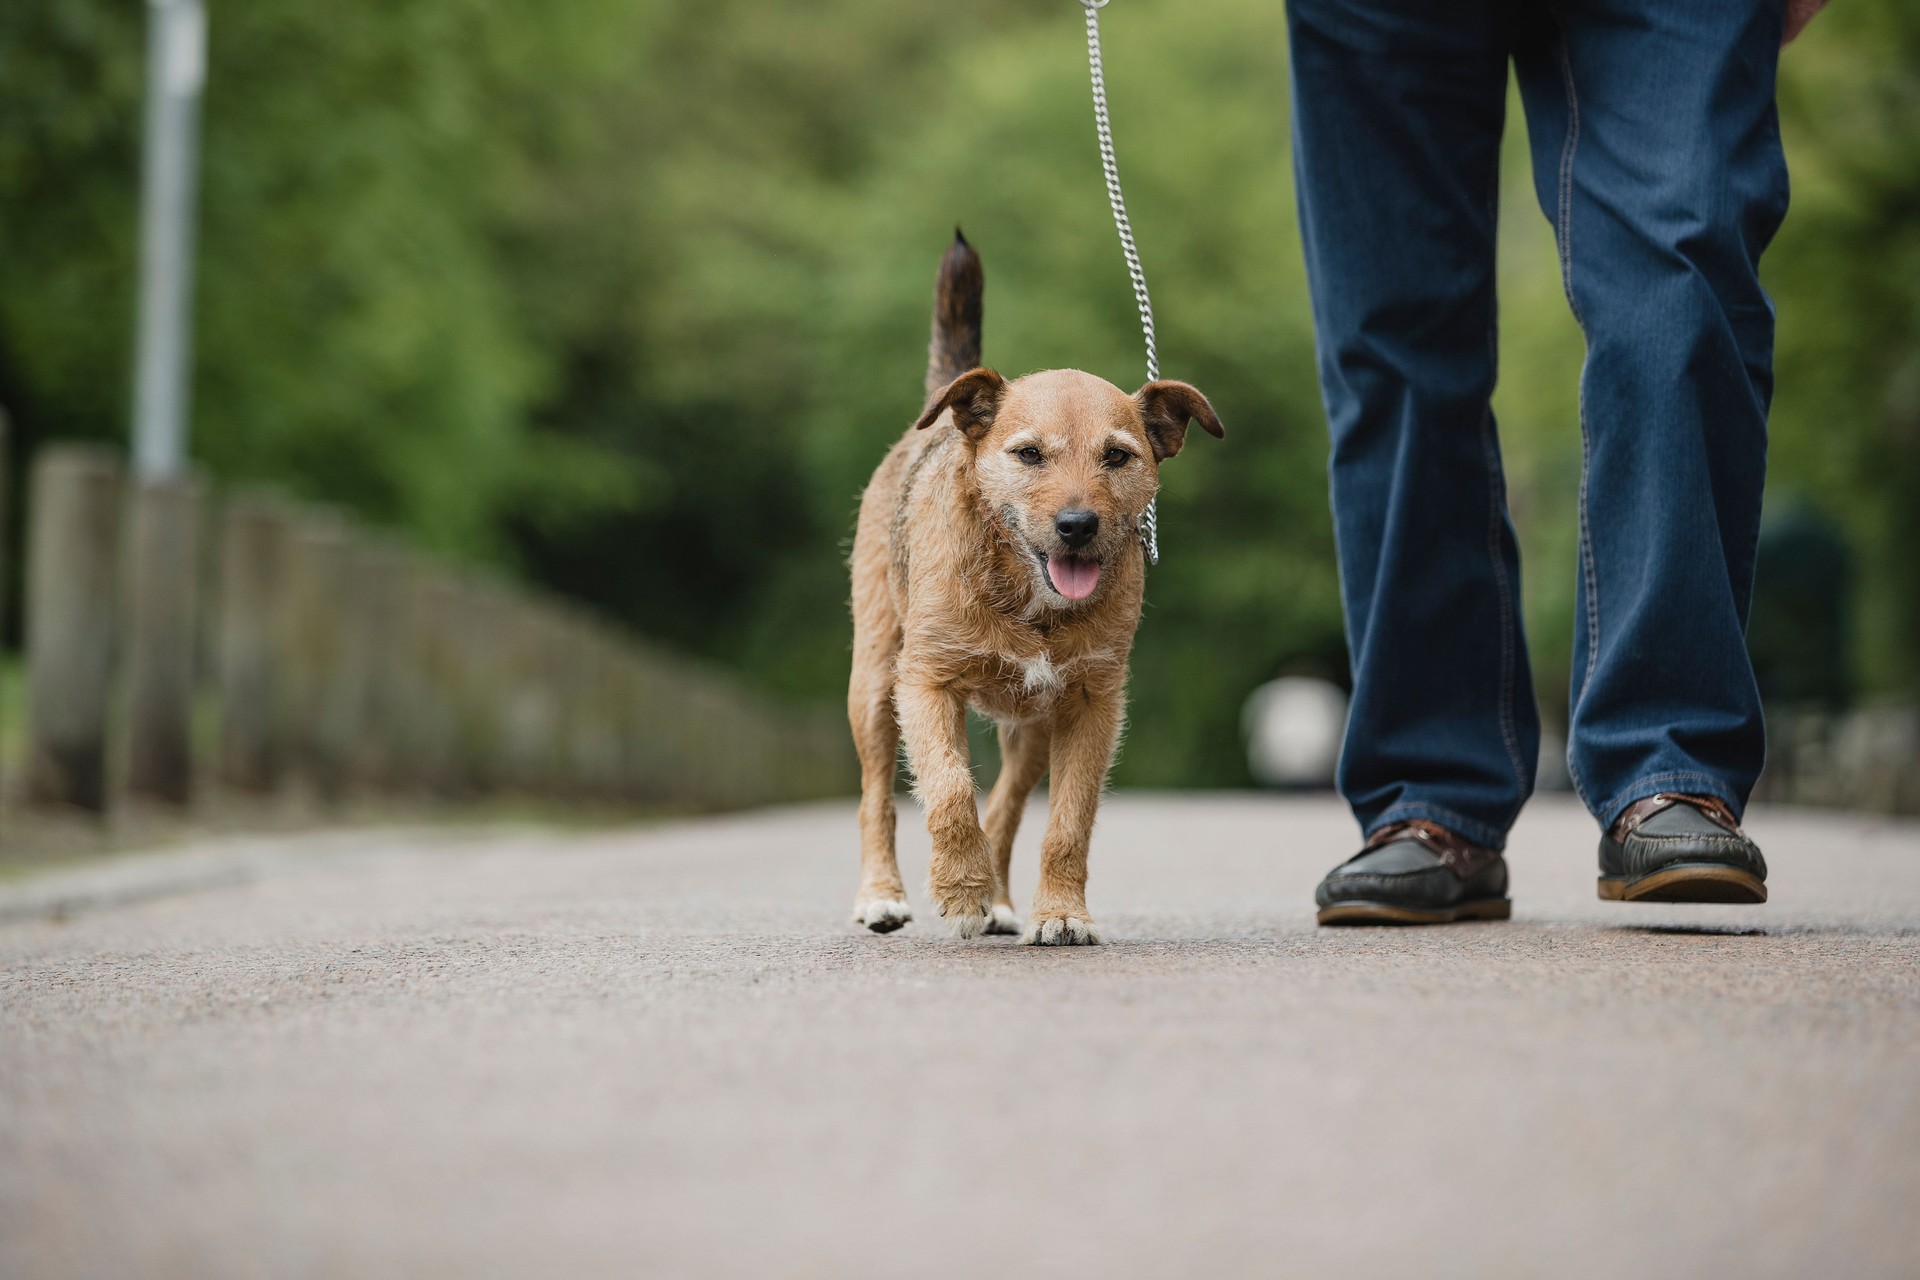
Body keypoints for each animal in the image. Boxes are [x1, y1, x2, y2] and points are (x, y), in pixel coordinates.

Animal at [848, 235, 1221, 948]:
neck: (1028, 601)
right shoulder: (925, 684)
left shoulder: (1092, 706)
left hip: (1032, 732)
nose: (1078, 525)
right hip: (876, 684)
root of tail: (939, 420)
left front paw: (1062, 913)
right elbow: (949, 791)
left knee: (1008, 808)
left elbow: (1068, 823)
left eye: (1117, 456)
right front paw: (960, 890)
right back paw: (883, 895)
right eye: (1028, 454)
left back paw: (998, 899)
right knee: (878, 795)